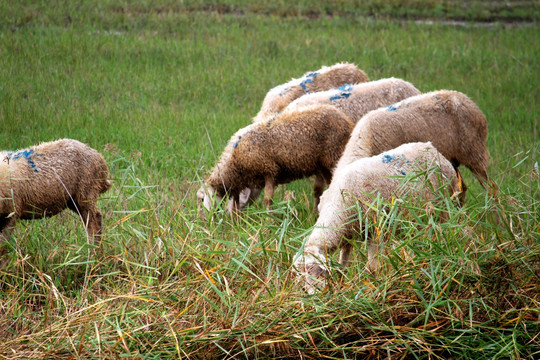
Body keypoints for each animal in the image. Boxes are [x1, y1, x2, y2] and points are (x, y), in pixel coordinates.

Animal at [198, 104, 354, 217]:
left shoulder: (269, 169)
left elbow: (268, 198)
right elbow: (235, 203)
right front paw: (237, 222)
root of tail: (346, 120)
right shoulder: (242, 181)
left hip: (334, 155)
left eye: (202, 199)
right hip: (323, 164)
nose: (204, 221)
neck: (235, 161)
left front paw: (269, 221)